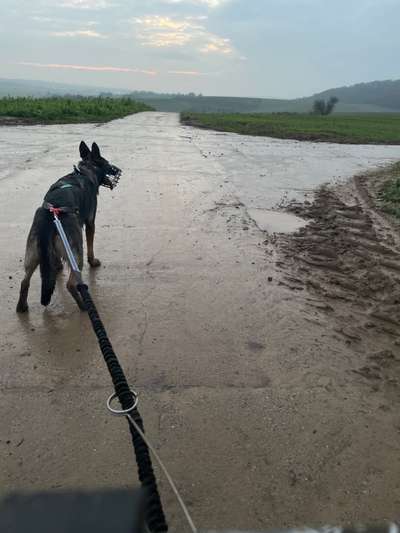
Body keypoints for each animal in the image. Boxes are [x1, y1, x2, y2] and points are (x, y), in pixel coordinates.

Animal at [16, 140, 122, 312]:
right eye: (106, 163)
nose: (116, 169)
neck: (84, 171)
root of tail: (51, 216)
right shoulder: (90, 222)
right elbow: (91, 245)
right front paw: (93, 262)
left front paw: (57, 266)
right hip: (76, 252)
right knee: (71, 284)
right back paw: (84, 305)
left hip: (33, 253)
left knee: (24, 281)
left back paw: (21, 306)